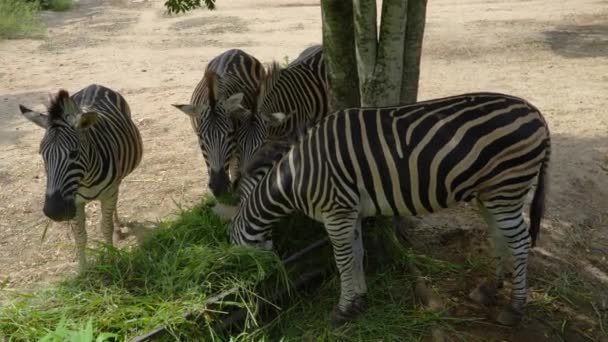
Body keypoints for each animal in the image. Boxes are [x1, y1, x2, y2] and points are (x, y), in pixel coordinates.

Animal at [18, 85, 144, 272]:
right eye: (42, 154)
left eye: (74, 153)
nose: (54, 211)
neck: (86, 179)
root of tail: (94, 85)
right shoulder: (75, 201)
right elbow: (80, 236)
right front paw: (83, 272)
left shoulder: (109, 193)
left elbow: (106, 227)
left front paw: (112, 259)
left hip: (117, 181)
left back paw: (118, 229)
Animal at [172, 49, 264, 196]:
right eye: (200, 138)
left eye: (230, 134)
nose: (218, 188)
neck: (212, 95)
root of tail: (235, 50)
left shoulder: (238, 144)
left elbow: (236, 168)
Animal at [213, 93, 552, 326]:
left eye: (233, 248)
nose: (247, 291)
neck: (296, 174)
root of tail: (537, 114)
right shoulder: (349, 212)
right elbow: (357, 254)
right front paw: (359, 300)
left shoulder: (335, 213)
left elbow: (343, 261)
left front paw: (342, 310)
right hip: (491, 194)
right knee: (500, 237)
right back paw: (489, 289)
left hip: (506, 187)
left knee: (520, 242)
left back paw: (514, 308)